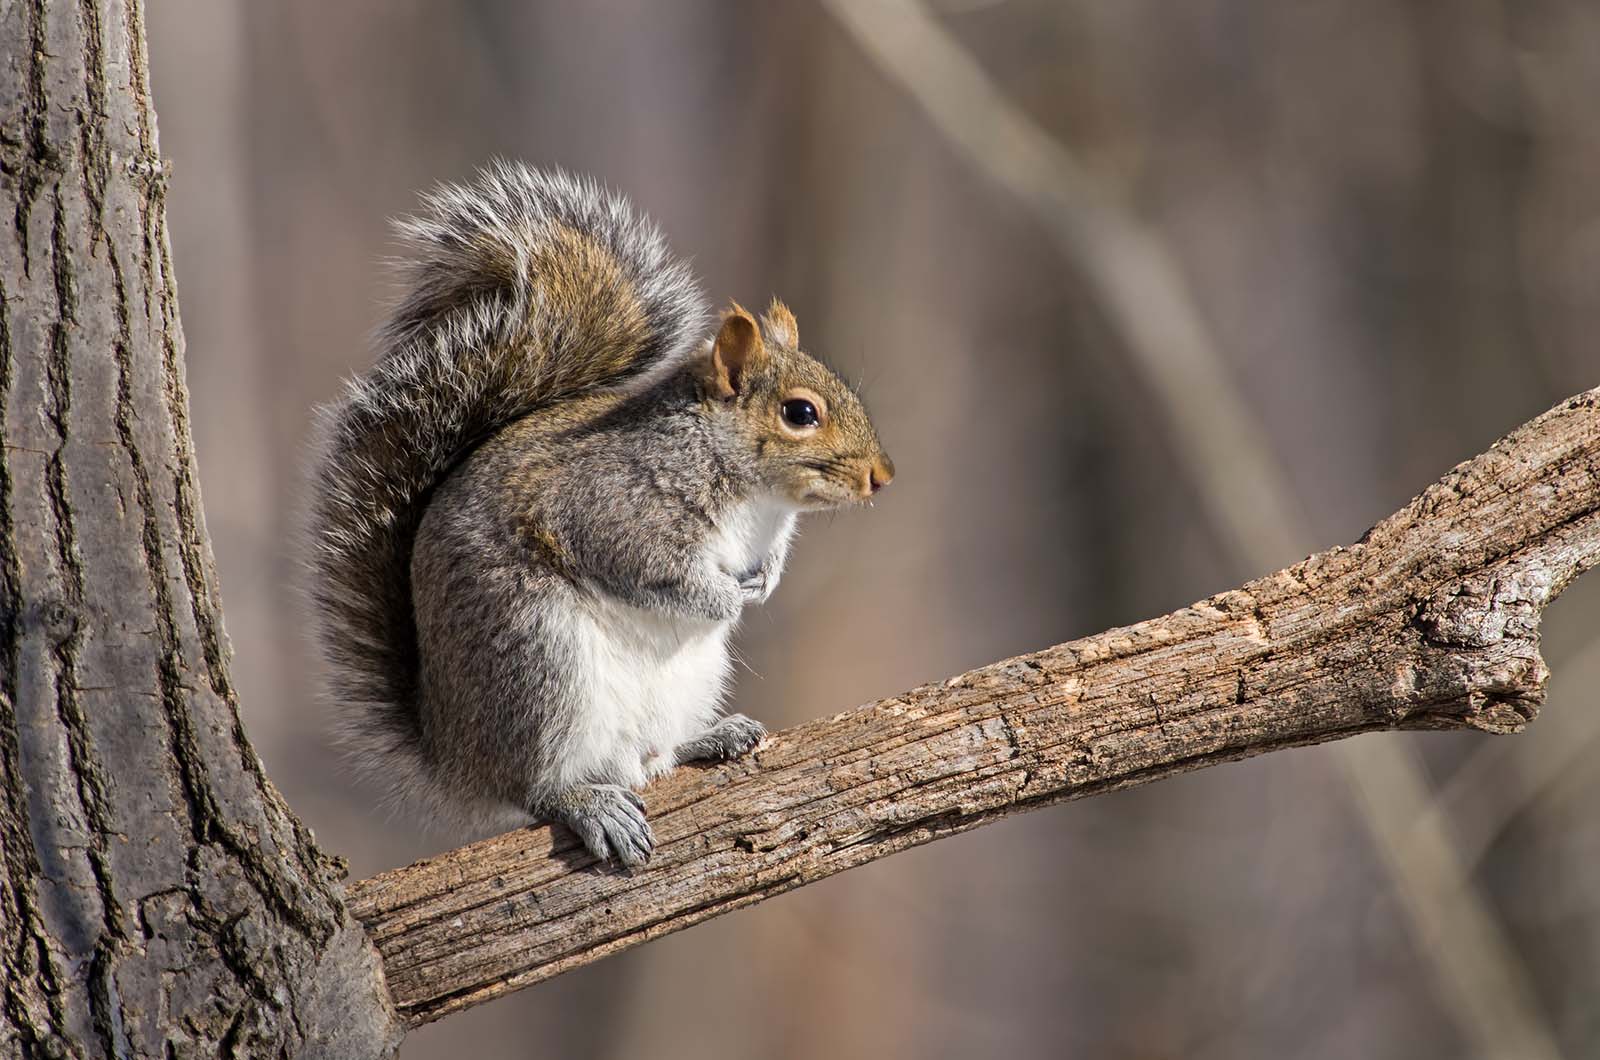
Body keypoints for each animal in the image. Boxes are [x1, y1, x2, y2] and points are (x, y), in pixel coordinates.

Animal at [305, 161, 896, 871]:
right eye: (800, 413)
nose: (882, 475)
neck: (758, 500)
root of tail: (454, 758)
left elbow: (765, 562)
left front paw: (764, 581)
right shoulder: (614, 510)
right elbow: (653, 573)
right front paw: (726, 599)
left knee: (651, 757)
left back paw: (712, 737)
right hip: (538, 661)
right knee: (538, 787)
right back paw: (588, 803)